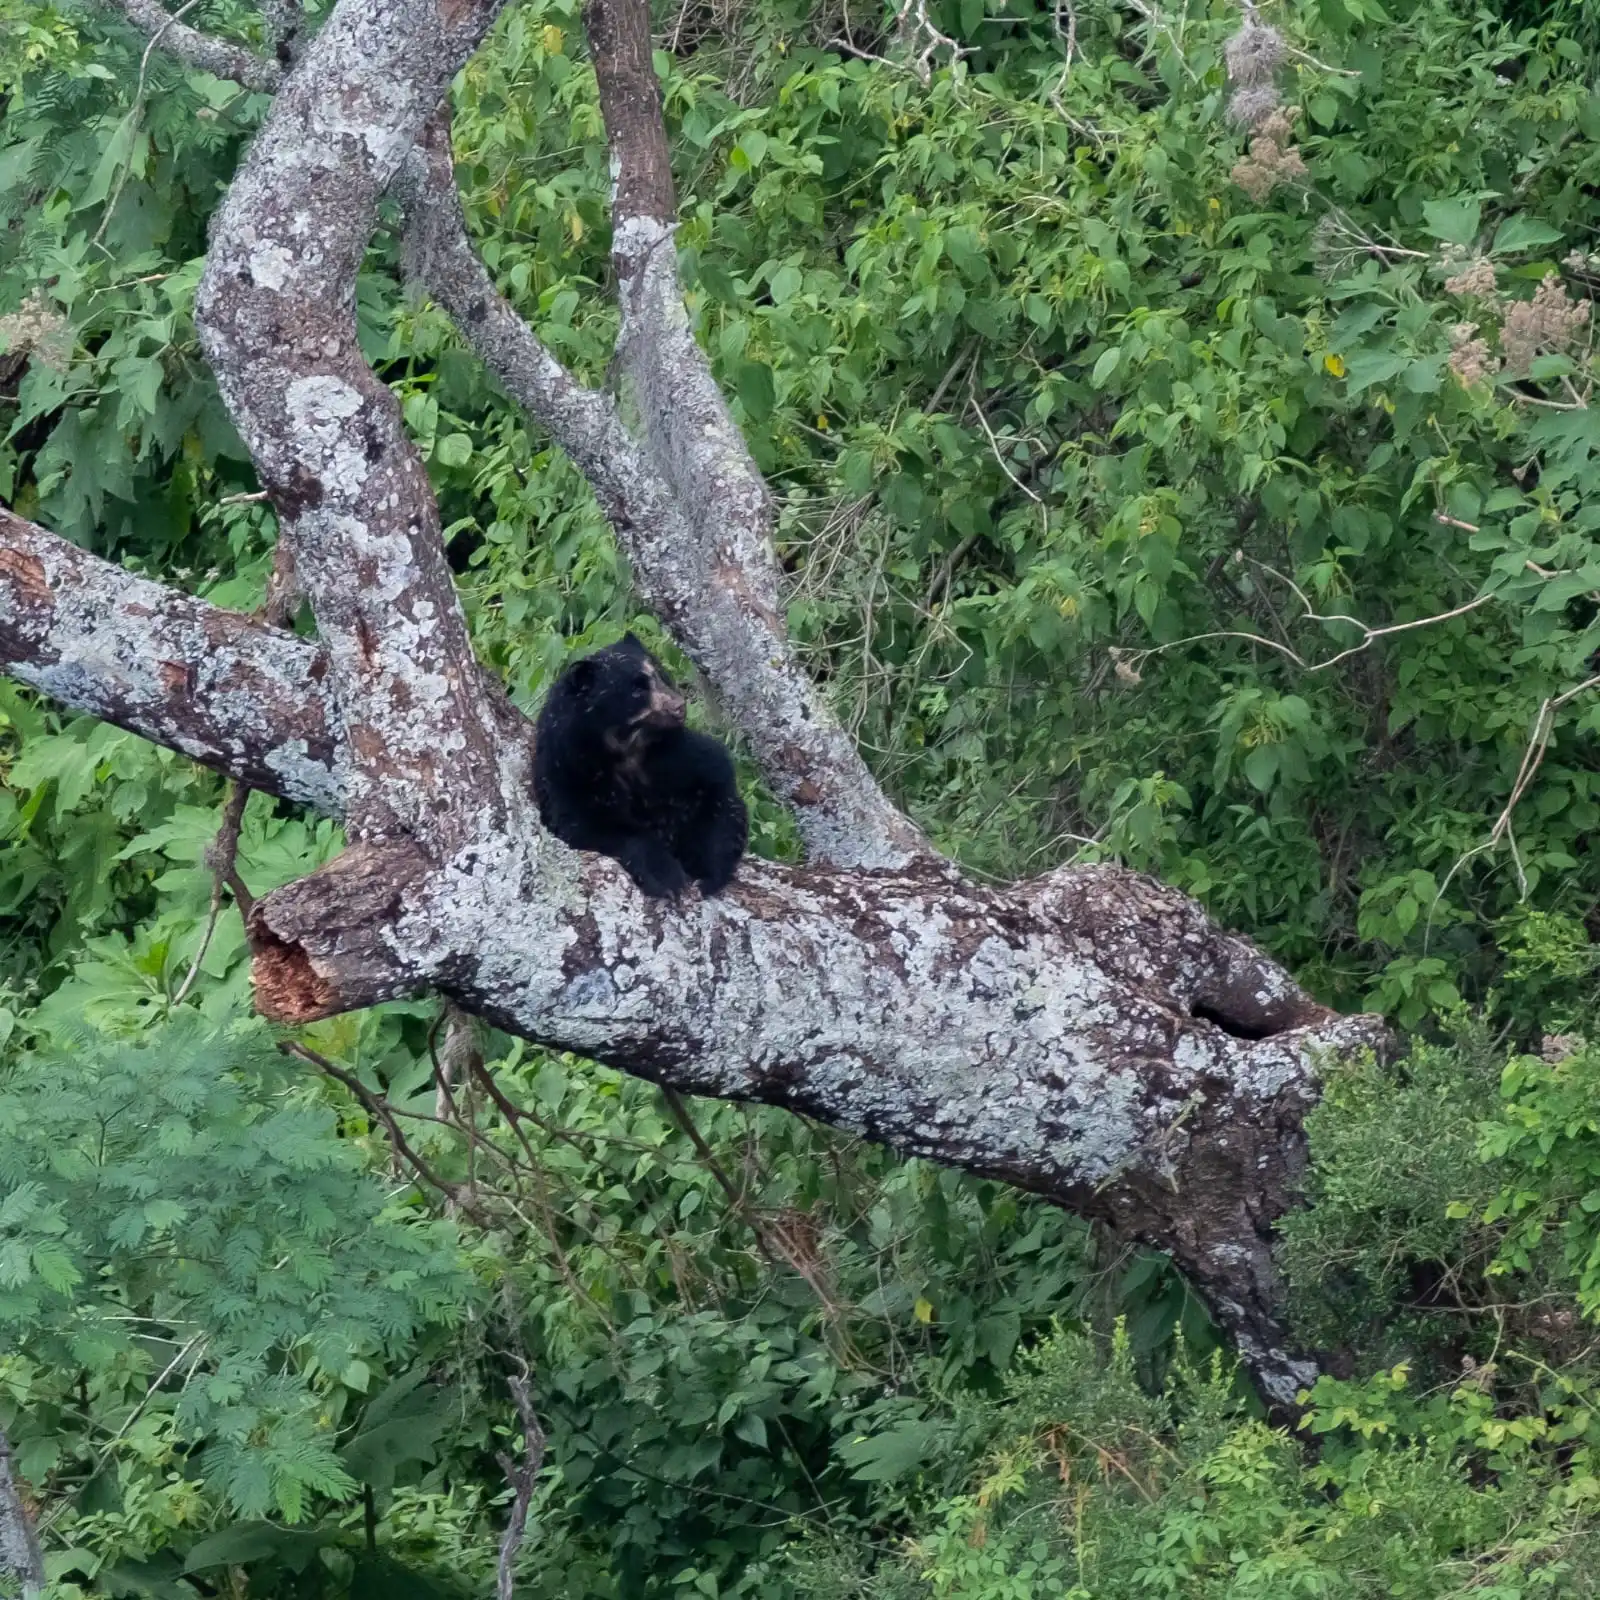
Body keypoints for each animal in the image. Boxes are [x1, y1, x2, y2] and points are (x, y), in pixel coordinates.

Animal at [532, 633, 748, 900]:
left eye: (660, 673)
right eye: (637, 688)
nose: (678, 706)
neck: (628, 747)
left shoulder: (677, 757)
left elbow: (717, 788)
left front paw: (707, 877)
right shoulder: (569, 770)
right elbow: (583, 826)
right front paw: (666, 878)